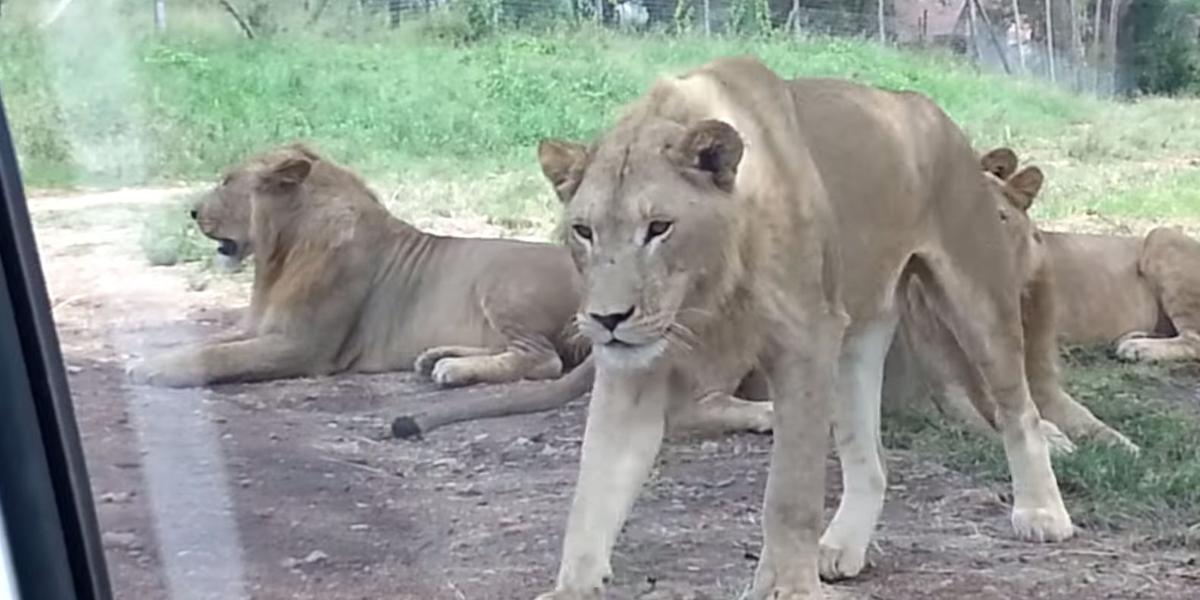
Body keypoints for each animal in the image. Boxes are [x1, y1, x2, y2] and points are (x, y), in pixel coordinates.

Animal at [530, 57, 1071, 600]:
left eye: (659, 227)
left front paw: (789, 586)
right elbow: (594, 490)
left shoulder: (806, 341)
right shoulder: (635, 369)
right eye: (584, 231)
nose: (607, 319)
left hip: (976, 300)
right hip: (856, 336)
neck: (705, 294)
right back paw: (842, 546)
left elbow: (791, 493)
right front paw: (571, 587)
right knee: (869, 457)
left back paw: (1043, 512)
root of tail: (927, 111)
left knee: (1019, 410)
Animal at [883, 148, 1139, 454]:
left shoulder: (1045, 386)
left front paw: (1120, 442)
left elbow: (1084, 416)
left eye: (999, 216)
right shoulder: (952, 395)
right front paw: (1053, 439)